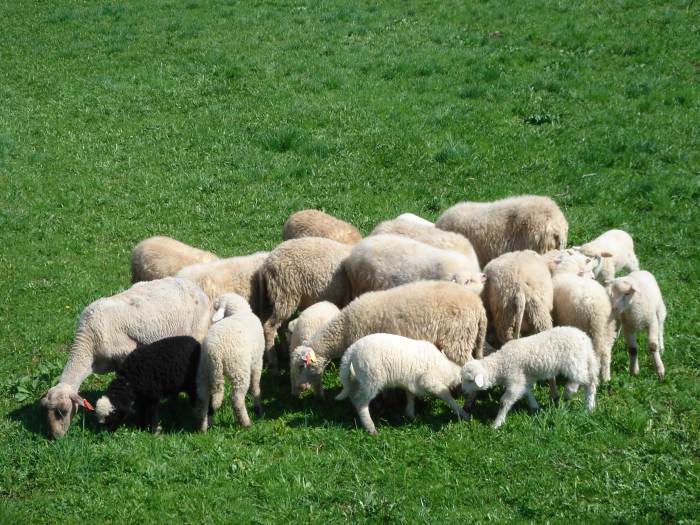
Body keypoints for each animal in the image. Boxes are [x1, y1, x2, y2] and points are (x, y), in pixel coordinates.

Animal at [40, 277, 212, 439]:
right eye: (46, 411)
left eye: (63, 411)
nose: (54, 437)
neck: (88, 344)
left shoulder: (128, 354)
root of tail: (195, 287)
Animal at [195, 293, 265, 431]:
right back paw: (246, 423)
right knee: (237, 400)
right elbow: (255, 386)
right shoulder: (258, 361)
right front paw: (257, 406)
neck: (239, 312)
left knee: (203, 399)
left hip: (204, 371)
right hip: (239, 370)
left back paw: (203, 427)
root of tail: (215, 352)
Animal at [258, 237, 354, 369]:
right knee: (269, 327)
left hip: (282, 297)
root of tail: (267, 263)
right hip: (285, 294)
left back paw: (284, 352)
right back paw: (274, 362)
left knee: (281, 325)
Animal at [335, 333, 470, 434]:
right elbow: (448, 397)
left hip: (358, 378)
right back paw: (370, 427)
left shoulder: (411, 383)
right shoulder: (430, 382)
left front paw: (410, 415)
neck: (446, 369)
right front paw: (463, 414)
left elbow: (410, 397)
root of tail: (351, 351)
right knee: (360, 401)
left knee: (353, 395)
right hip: (371, 378)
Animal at [461, 327, 599, 428]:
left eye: (470, 380)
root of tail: (586, 340)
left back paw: (588, 406)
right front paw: (534, 407)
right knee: (581, 379)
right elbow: (527, 392)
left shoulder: (515, 378)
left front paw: (497, 423)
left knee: (589, 382)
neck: (501, 363)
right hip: (578, 362)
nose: (462, 391)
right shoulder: (524, 378)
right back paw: (570, 392)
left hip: (574, 362)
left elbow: (504, 402)